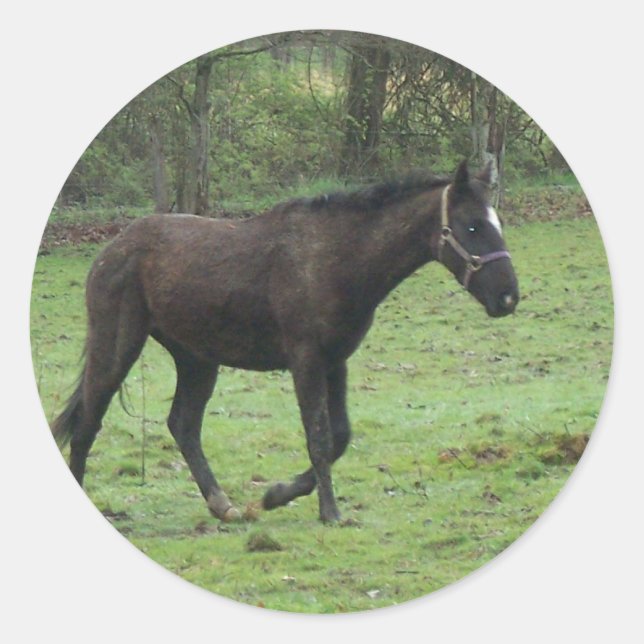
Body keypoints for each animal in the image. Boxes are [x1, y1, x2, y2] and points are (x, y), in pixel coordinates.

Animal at [51, 160, 519, 524]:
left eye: (496, 223)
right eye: (472, 226)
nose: (508, 297)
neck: (337, 259)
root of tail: (109, 252)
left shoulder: (336, 361)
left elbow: (340, 435)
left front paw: (277, 495)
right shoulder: (306, 359)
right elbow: (319, 436)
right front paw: (329, 512)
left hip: (197, 358)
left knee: (182, 424)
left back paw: (222, 505)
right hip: (117, 346)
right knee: (89, 423)